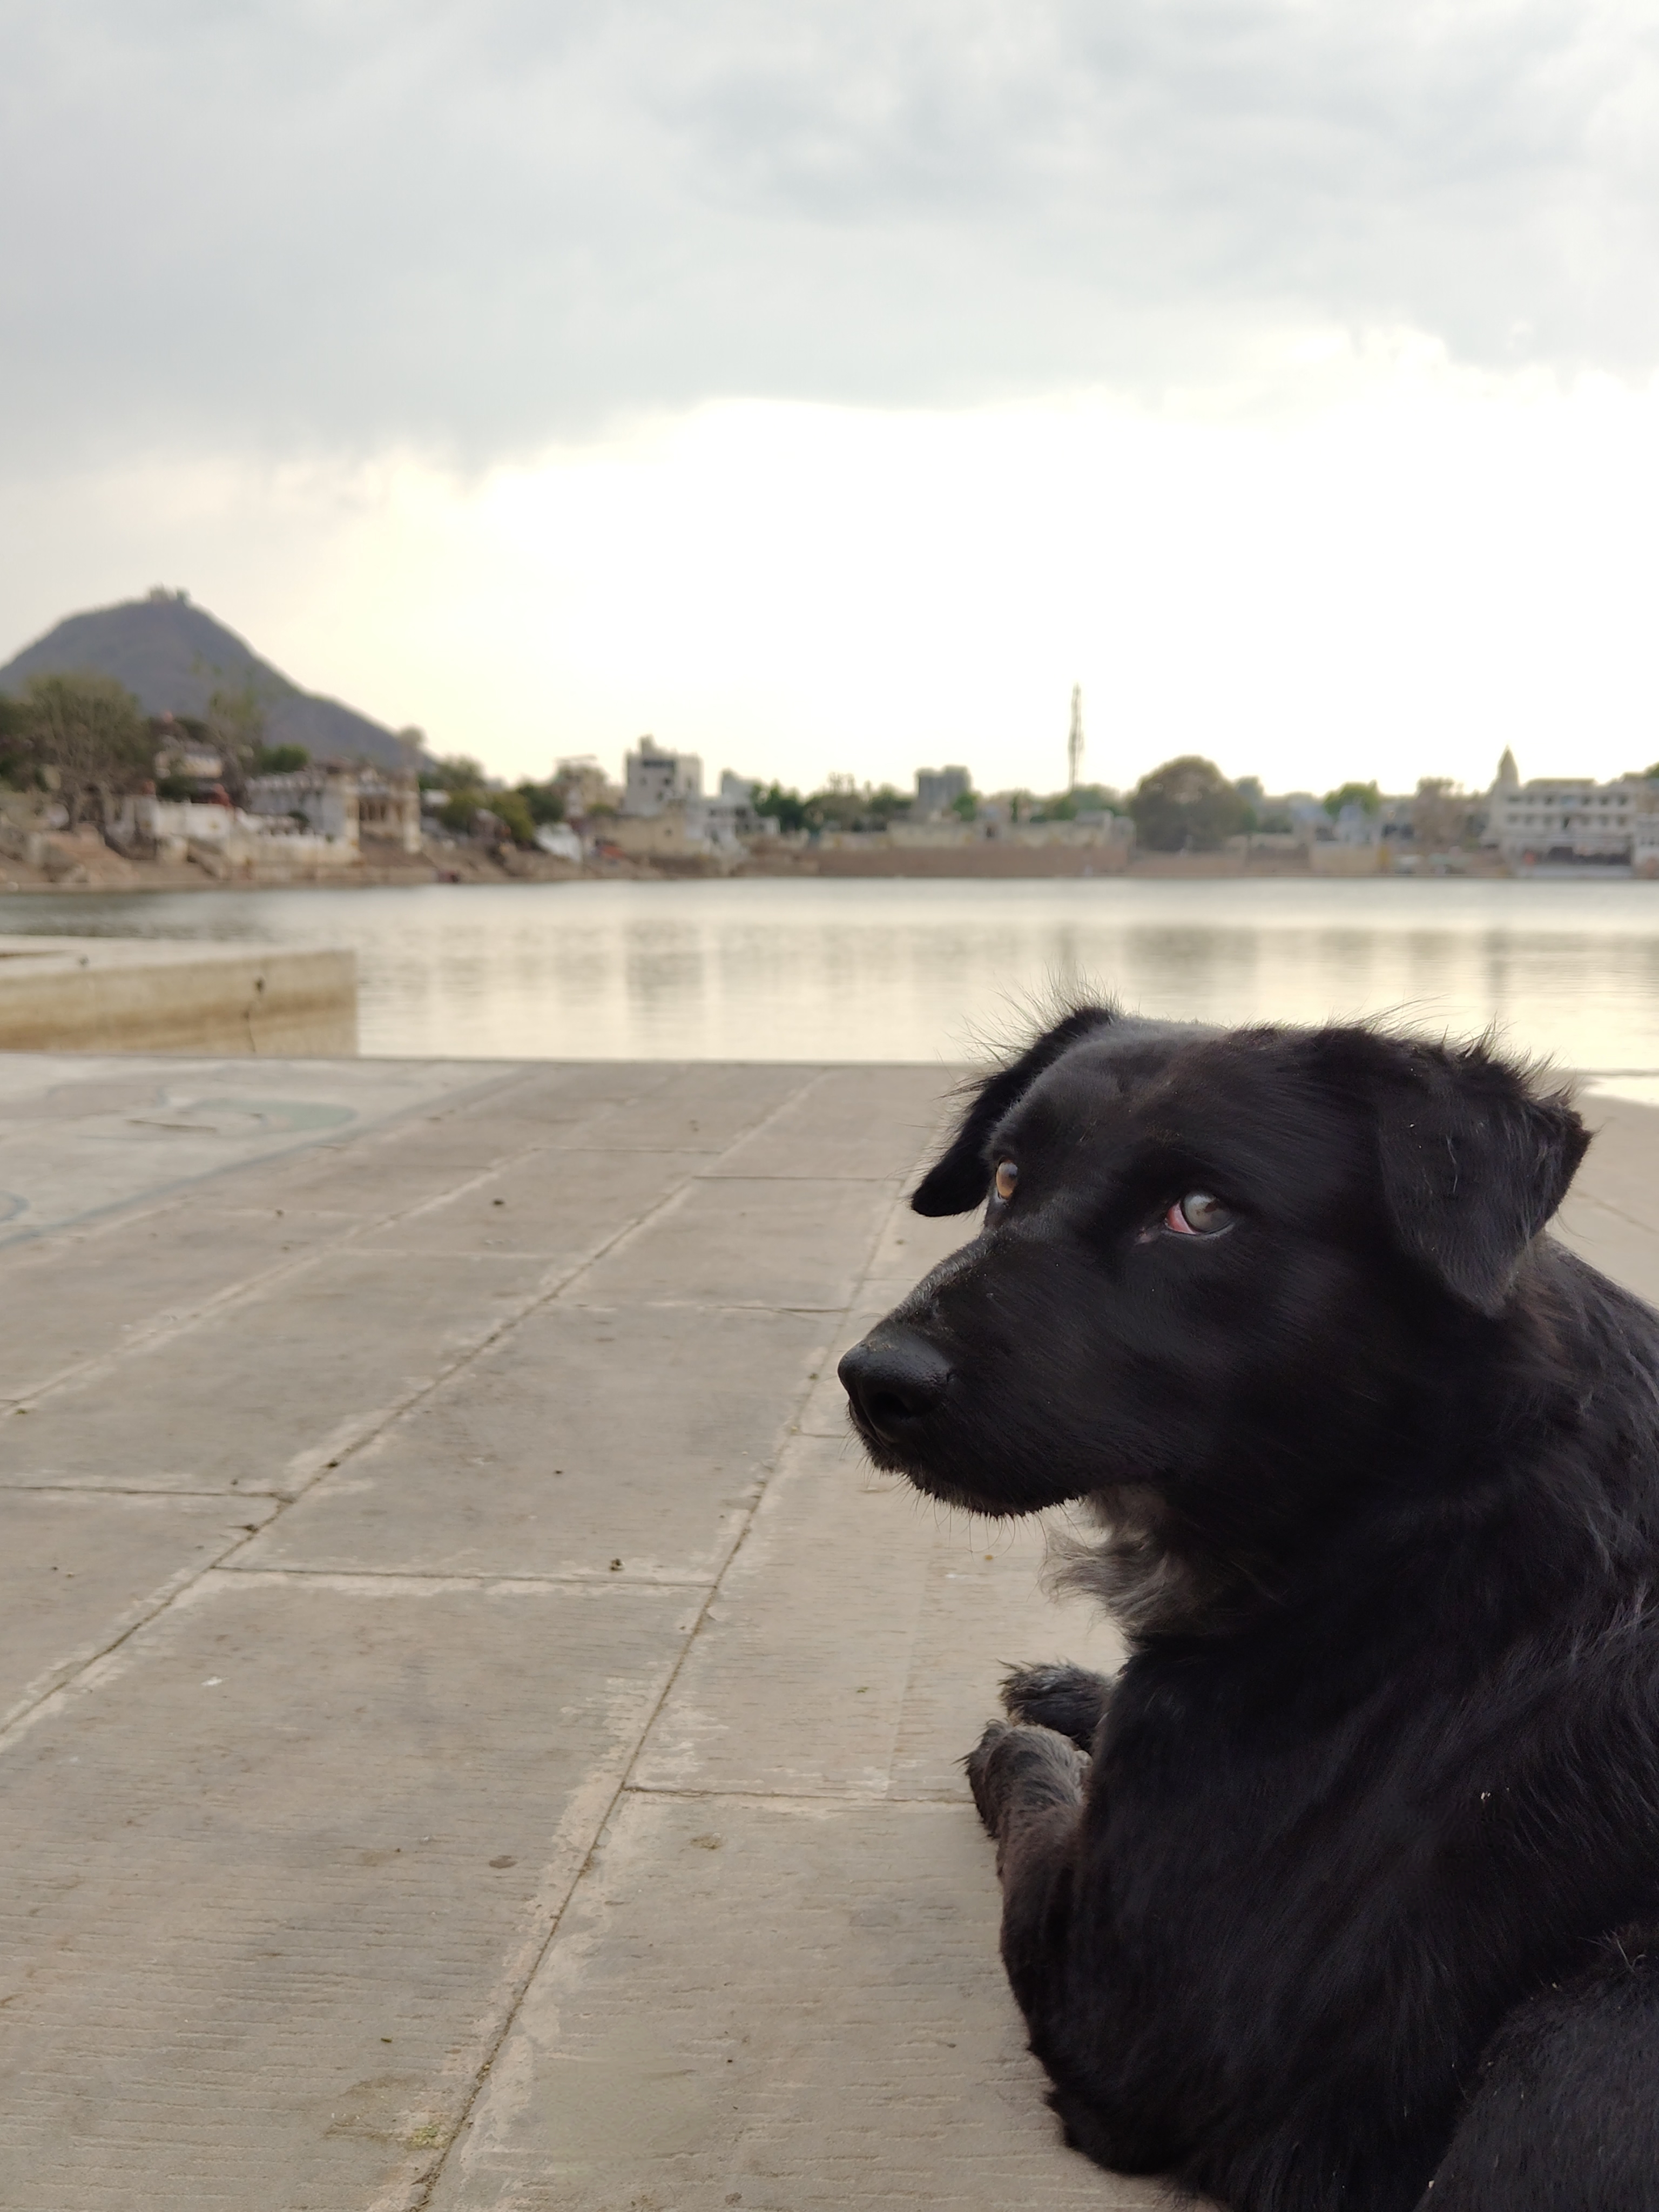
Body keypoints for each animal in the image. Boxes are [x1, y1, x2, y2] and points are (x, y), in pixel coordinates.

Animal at [849, 1013, 1659, 2212]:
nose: (873, 1380)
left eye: (1200, 1211)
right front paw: (1070, 1689)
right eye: (1003, 1178)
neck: (1407, 1499)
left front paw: (1025, 1743)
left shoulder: (1115, 2014)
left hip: (1591, 2023)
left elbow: (1045, 1800)